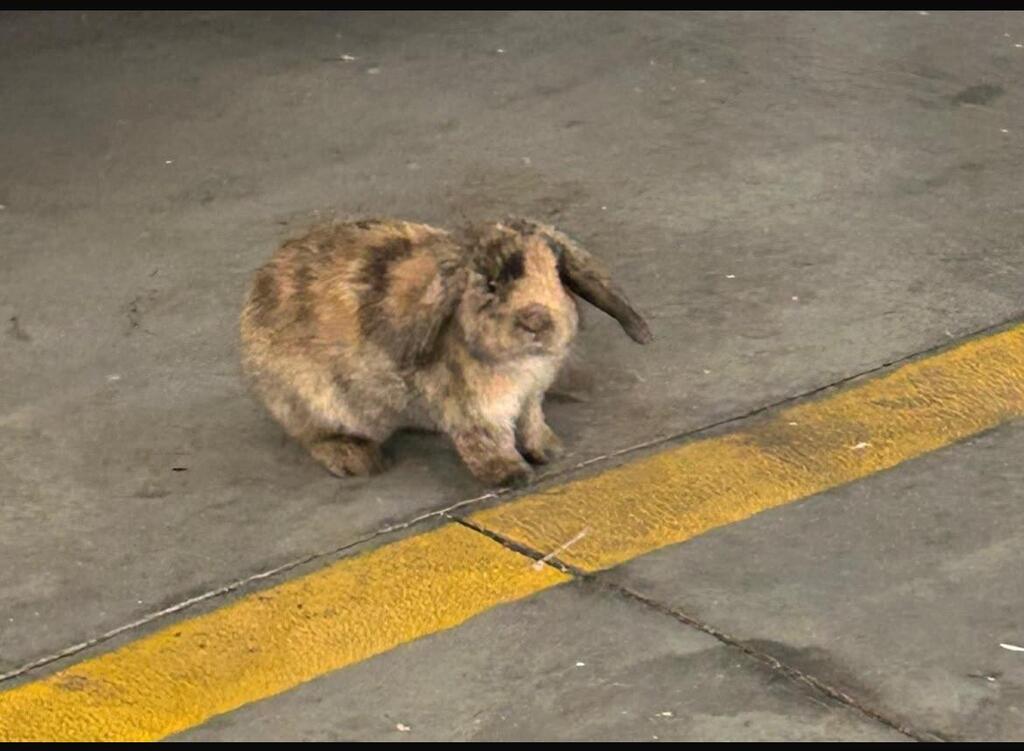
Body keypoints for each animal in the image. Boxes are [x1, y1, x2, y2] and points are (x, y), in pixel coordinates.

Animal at [239, 216, 652, 487]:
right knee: (316, 437)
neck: (519, 365)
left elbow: (532, 422)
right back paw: (360, 461)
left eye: (557, 274)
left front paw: (549, 451)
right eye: (490, 286)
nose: (536, 318)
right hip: (317, 405)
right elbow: (487, 438)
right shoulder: (474, 407)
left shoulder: (530, 397)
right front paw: (511, 474)